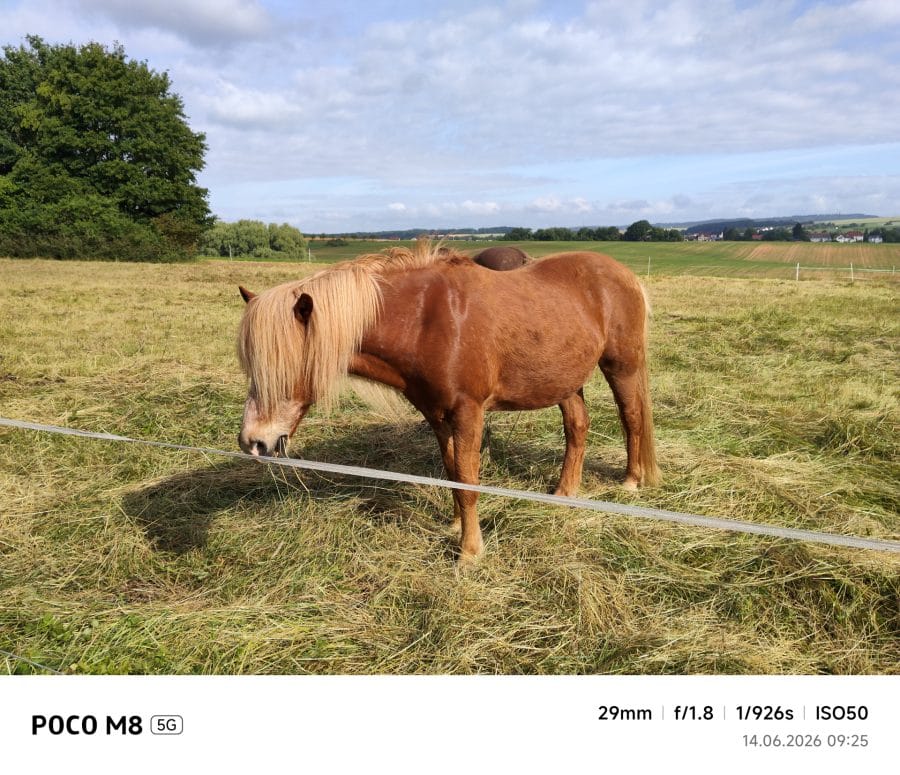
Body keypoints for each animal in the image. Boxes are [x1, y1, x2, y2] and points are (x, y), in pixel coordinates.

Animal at [236, 242, 659, 566]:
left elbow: (468, 481)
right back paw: (563, 493)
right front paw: (455, 526)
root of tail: (624, 274)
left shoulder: (468, 412)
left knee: (631, 417)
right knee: (577, 426)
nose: (252, 442)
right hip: (564, 381)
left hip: (621, 366)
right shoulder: (437, 416)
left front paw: (470, 553)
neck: (427, 321)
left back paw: (631, 482)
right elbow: (453, 471)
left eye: (285, 365)